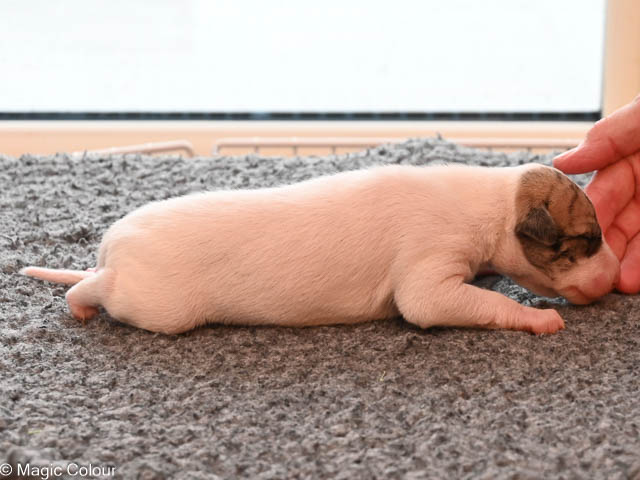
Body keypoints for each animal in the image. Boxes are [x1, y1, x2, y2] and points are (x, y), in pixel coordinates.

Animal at [21, 163, 620, 335]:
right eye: (587, 242)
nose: (615, 278)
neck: (491, 201)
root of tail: (109, 248)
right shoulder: (428, 270)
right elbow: (445, 302)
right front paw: (537, 318)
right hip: (157, 304)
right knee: (93, 291)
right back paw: (80, 302)